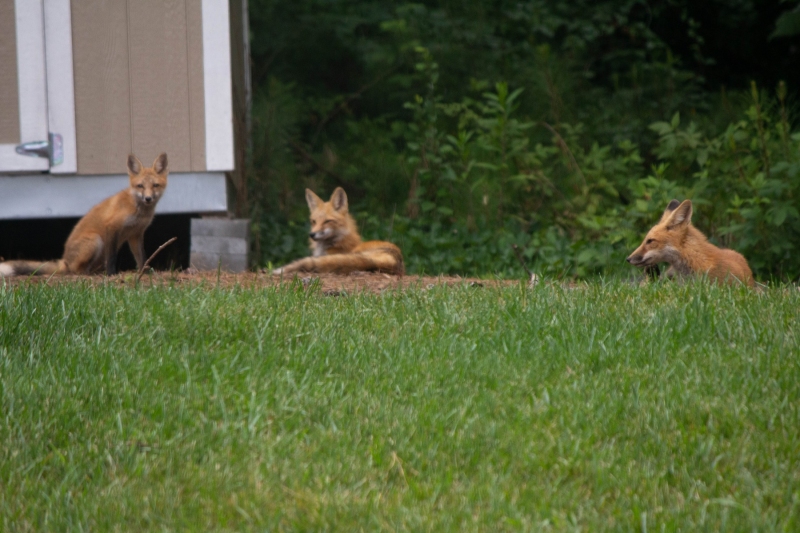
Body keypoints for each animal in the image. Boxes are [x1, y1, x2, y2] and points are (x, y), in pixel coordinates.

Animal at [0, 153, 168, 278]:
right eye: (140, 186)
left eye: (155, 185)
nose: (148, 198)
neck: (137, 208)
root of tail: (65, 260)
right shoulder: (112, 226)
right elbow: (112, 256)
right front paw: (112, 274)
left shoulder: (135, 234)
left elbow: (142, 257)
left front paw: (145, 272)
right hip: (95, 240)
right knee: (76, 270)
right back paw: (89, 273)